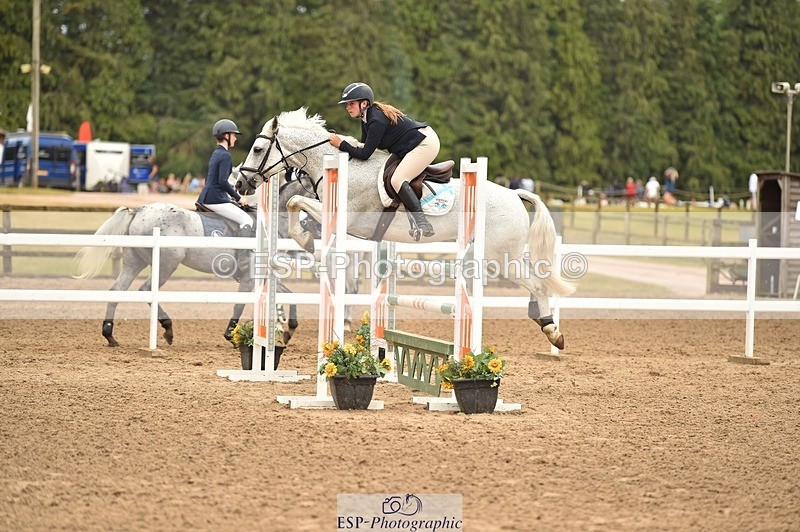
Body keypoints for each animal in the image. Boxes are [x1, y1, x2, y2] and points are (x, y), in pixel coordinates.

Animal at [234, 108, 575, 350]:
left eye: (257, 148)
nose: (241, 184)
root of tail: (515, 195)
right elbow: (296, 205)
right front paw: (305, 240)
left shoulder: (343, 217)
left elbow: (295, 203)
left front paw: (305, 240)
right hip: (501, 254)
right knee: (536, 279)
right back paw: (541, 319)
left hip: (498, 256)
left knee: (538, 283)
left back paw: (551, 330)